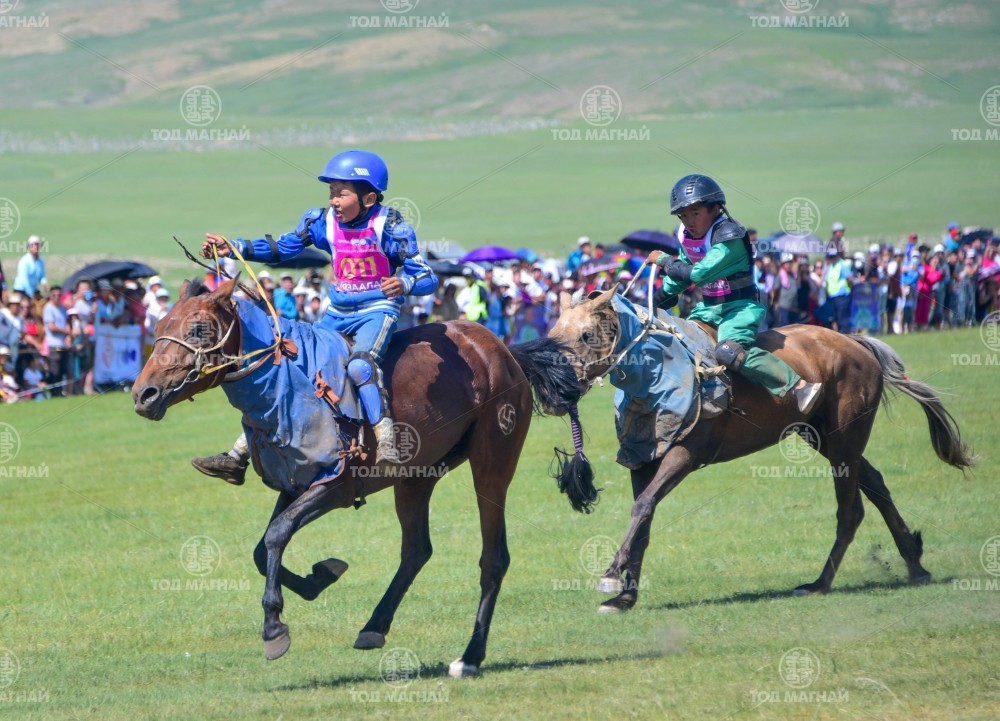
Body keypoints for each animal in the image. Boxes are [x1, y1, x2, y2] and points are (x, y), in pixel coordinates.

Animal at [132, 277, 578, 677]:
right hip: (417, 476)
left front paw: (274, 627)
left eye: (198, 329)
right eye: (160, 326)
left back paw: (469, 657)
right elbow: (264, 547)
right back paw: (374, 627)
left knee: (493, 557)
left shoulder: (336, 485)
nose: (143, 394)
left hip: (492, 462)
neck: (286, 386)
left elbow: (276, 536)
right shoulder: (295, 482)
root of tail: (505, 351)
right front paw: (318, 578)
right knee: (417, 550)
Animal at [516, 286, 975, 613]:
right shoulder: (642, 460)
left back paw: (820, 583)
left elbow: (643, 507)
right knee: (876, 483)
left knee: (851, 510)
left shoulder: (684, 456)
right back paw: (914, 563)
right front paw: (624, 597)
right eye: (554, 334)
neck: (657, 374)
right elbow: (643, 518)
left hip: (845, 438)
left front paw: (611, 574)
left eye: (587, 334)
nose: (553, 392)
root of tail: (857, 344)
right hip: (822, 437)